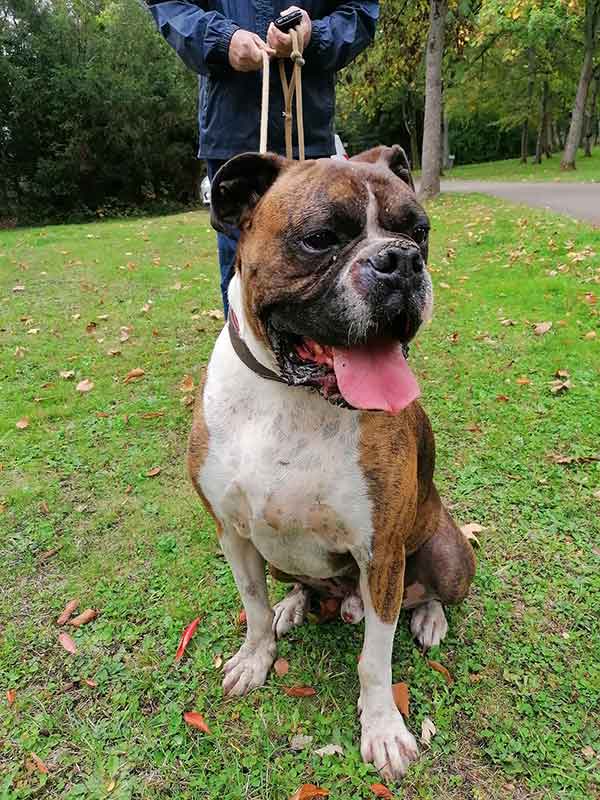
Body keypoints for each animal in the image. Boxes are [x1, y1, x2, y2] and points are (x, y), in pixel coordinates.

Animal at [190, 145, 476, 780]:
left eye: (420, 232)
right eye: (320, 238)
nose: (401, 261)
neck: (291, 398)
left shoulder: (382, 552)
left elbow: (375, 660)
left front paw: (383, 729)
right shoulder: (232, 533)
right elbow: (251, 607)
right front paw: (257, 657)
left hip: (446, 554)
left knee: (428, 593)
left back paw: (428, 618)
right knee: (297, 584)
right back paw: (296, 605)